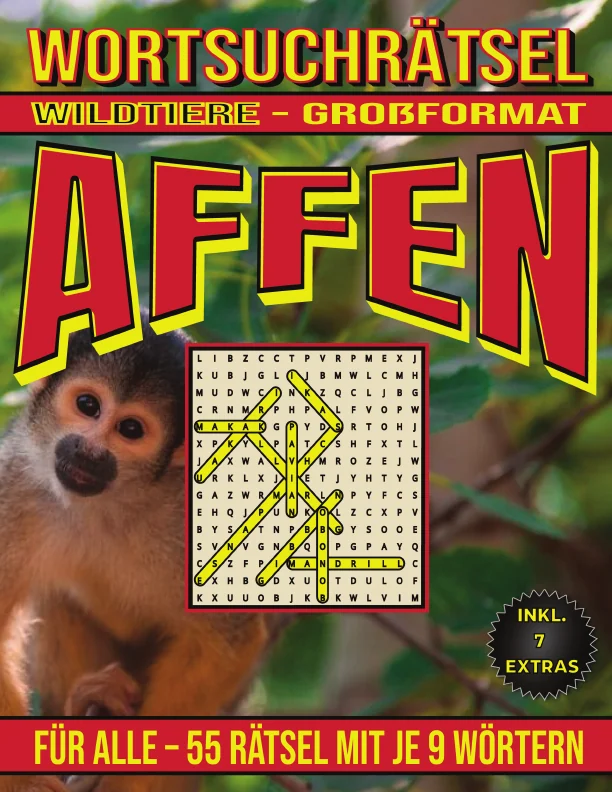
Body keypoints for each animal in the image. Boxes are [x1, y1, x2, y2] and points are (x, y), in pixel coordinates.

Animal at [0, 315, 268, 792]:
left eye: (130, 430)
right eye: (87, 405)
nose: (88, 451)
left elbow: (227, 639)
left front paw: (132, 777)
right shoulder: (16, 481)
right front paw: (24, 780)